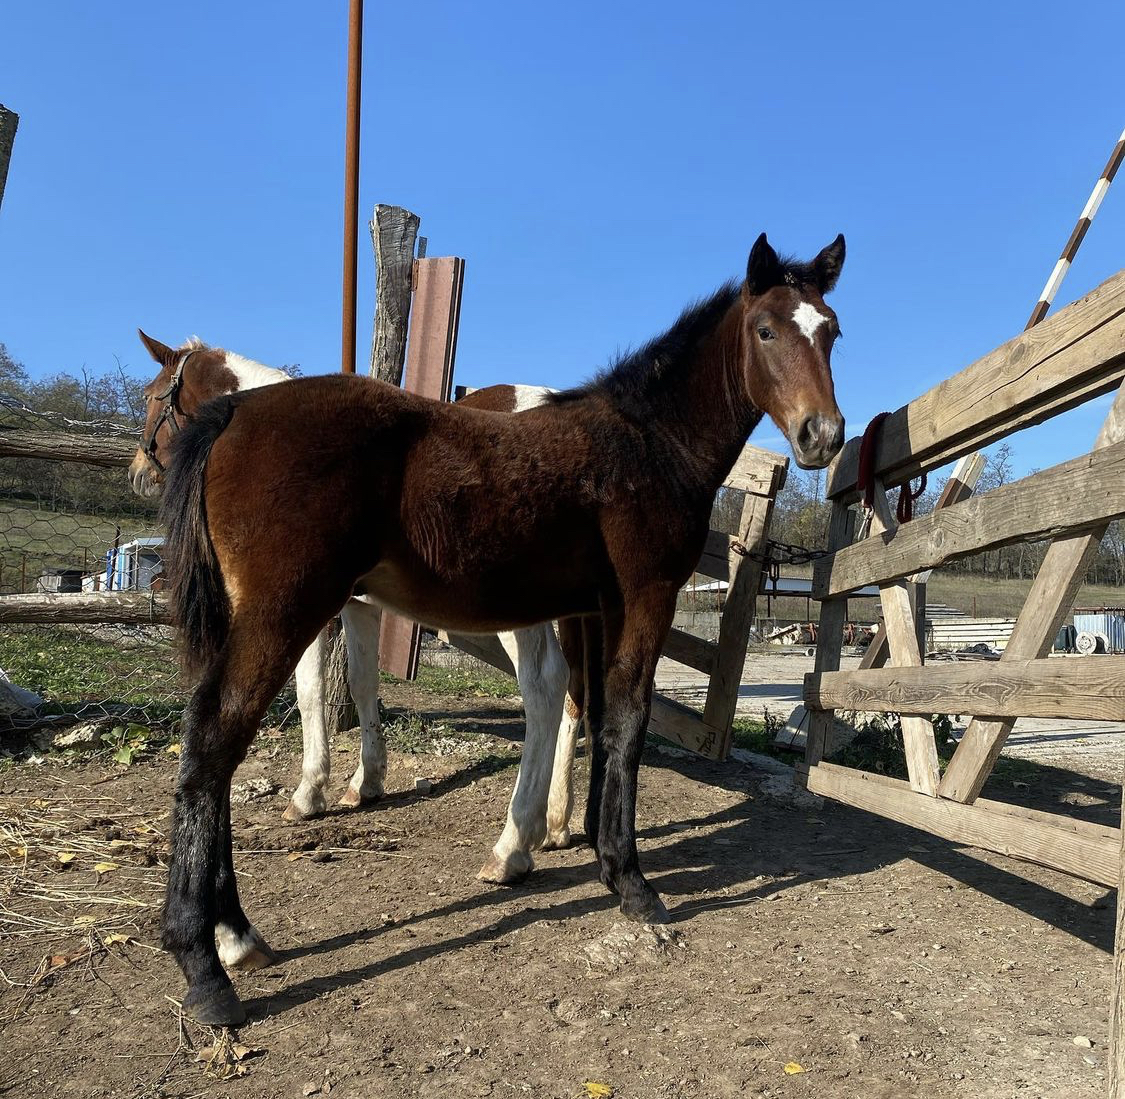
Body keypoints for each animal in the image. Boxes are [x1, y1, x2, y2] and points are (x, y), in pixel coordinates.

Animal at [130, 335, 585, 881]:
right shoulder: (359, 608)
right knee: (572, 697)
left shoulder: (311, 612)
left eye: (151, 396)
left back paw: (513, 847)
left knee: (544, 687)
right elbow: (363, 682)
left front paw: (309, 793)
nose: (138, 473)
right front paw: (365, 782)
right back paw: (556, 822)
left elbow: (310, 692)